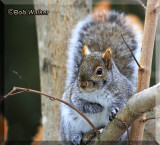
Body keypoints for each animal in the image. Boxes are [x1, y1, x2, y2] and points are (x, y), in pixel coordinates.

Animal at [58, 10, 142, 145]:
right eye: (79, 67)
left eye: (99, 71)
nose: (82, 84)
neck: (97, 91)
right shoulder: (75, 94)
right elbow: (79, 104)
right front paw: (96, 108)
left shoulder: (123, 92)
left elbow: (122, 103)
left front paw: (112, 110)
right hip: (67, 122)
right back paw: (75, 136)